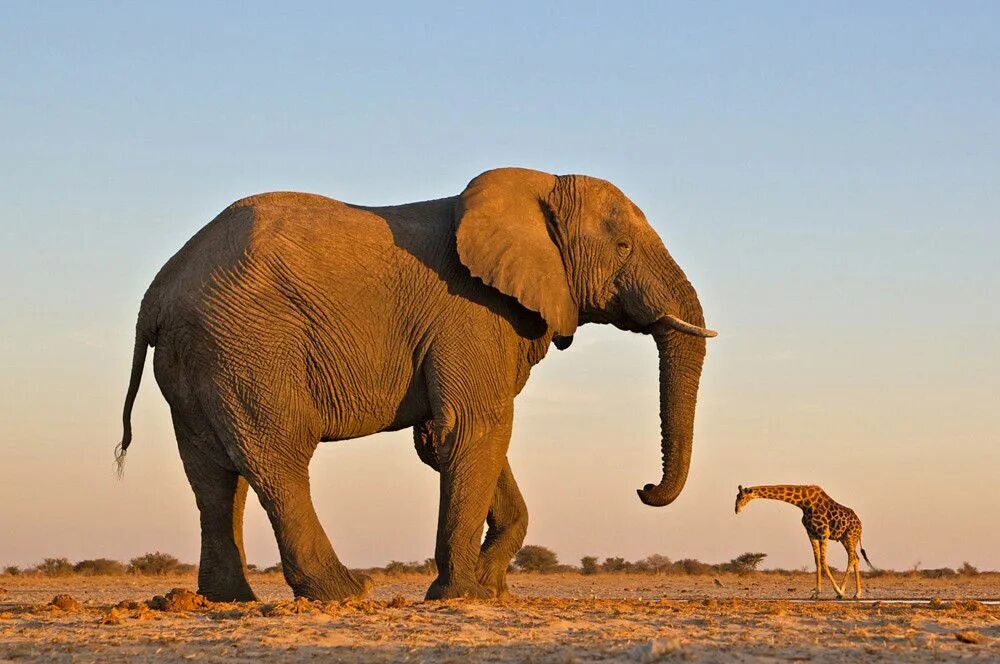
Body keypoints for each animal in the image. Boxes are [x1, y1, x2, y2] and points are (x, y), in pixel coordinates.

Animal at [117, 165, 720, 600]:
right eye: (622, 248)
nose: (643, 489)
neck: (537, 186)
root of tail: (156, 292)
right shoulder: (471, 312)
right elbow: (475, 427)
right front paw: (458, 595)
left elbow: (456, 439)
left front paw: (489, 589)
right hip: (250, 340)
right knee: (276, 455)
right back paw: (346, 593)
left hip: (200, 354)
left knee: (213, 474)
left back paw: (229, 601)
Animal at [732, 486, 872, 600]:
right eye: (736, 497)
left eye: (742, 497)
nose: (736, 510)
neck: (804, 502)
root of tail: (860, 524)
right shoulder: (812, 534)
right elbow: (817, 561)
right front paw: (816, 593)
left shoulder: (824, 533)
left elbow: (823, 561)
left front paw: (838, 591)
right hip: (844, 538)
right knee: (856, 558)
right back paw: (857, 593)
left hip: (850, 536)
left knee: (852, 558)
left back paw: (843, 591)